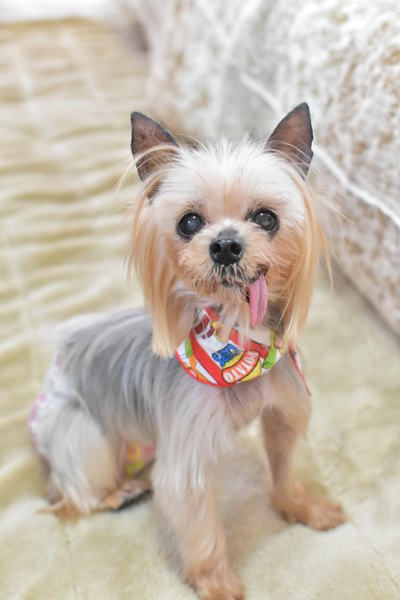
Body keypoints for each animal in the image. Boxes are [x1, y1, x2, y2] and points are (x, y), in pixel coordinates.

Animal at [29, 104, 346, 600]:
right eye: (190, 222)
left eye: (266, 218)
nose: (226, 245)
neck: (236, 340)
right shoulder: (187, 460)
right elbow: (200, 527)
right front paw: (216, 583)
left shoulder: (281, 413)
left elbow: (283, 469)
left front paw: (302, 507)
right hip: (83, 434)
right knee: (75, 495)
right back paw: (117, 493)